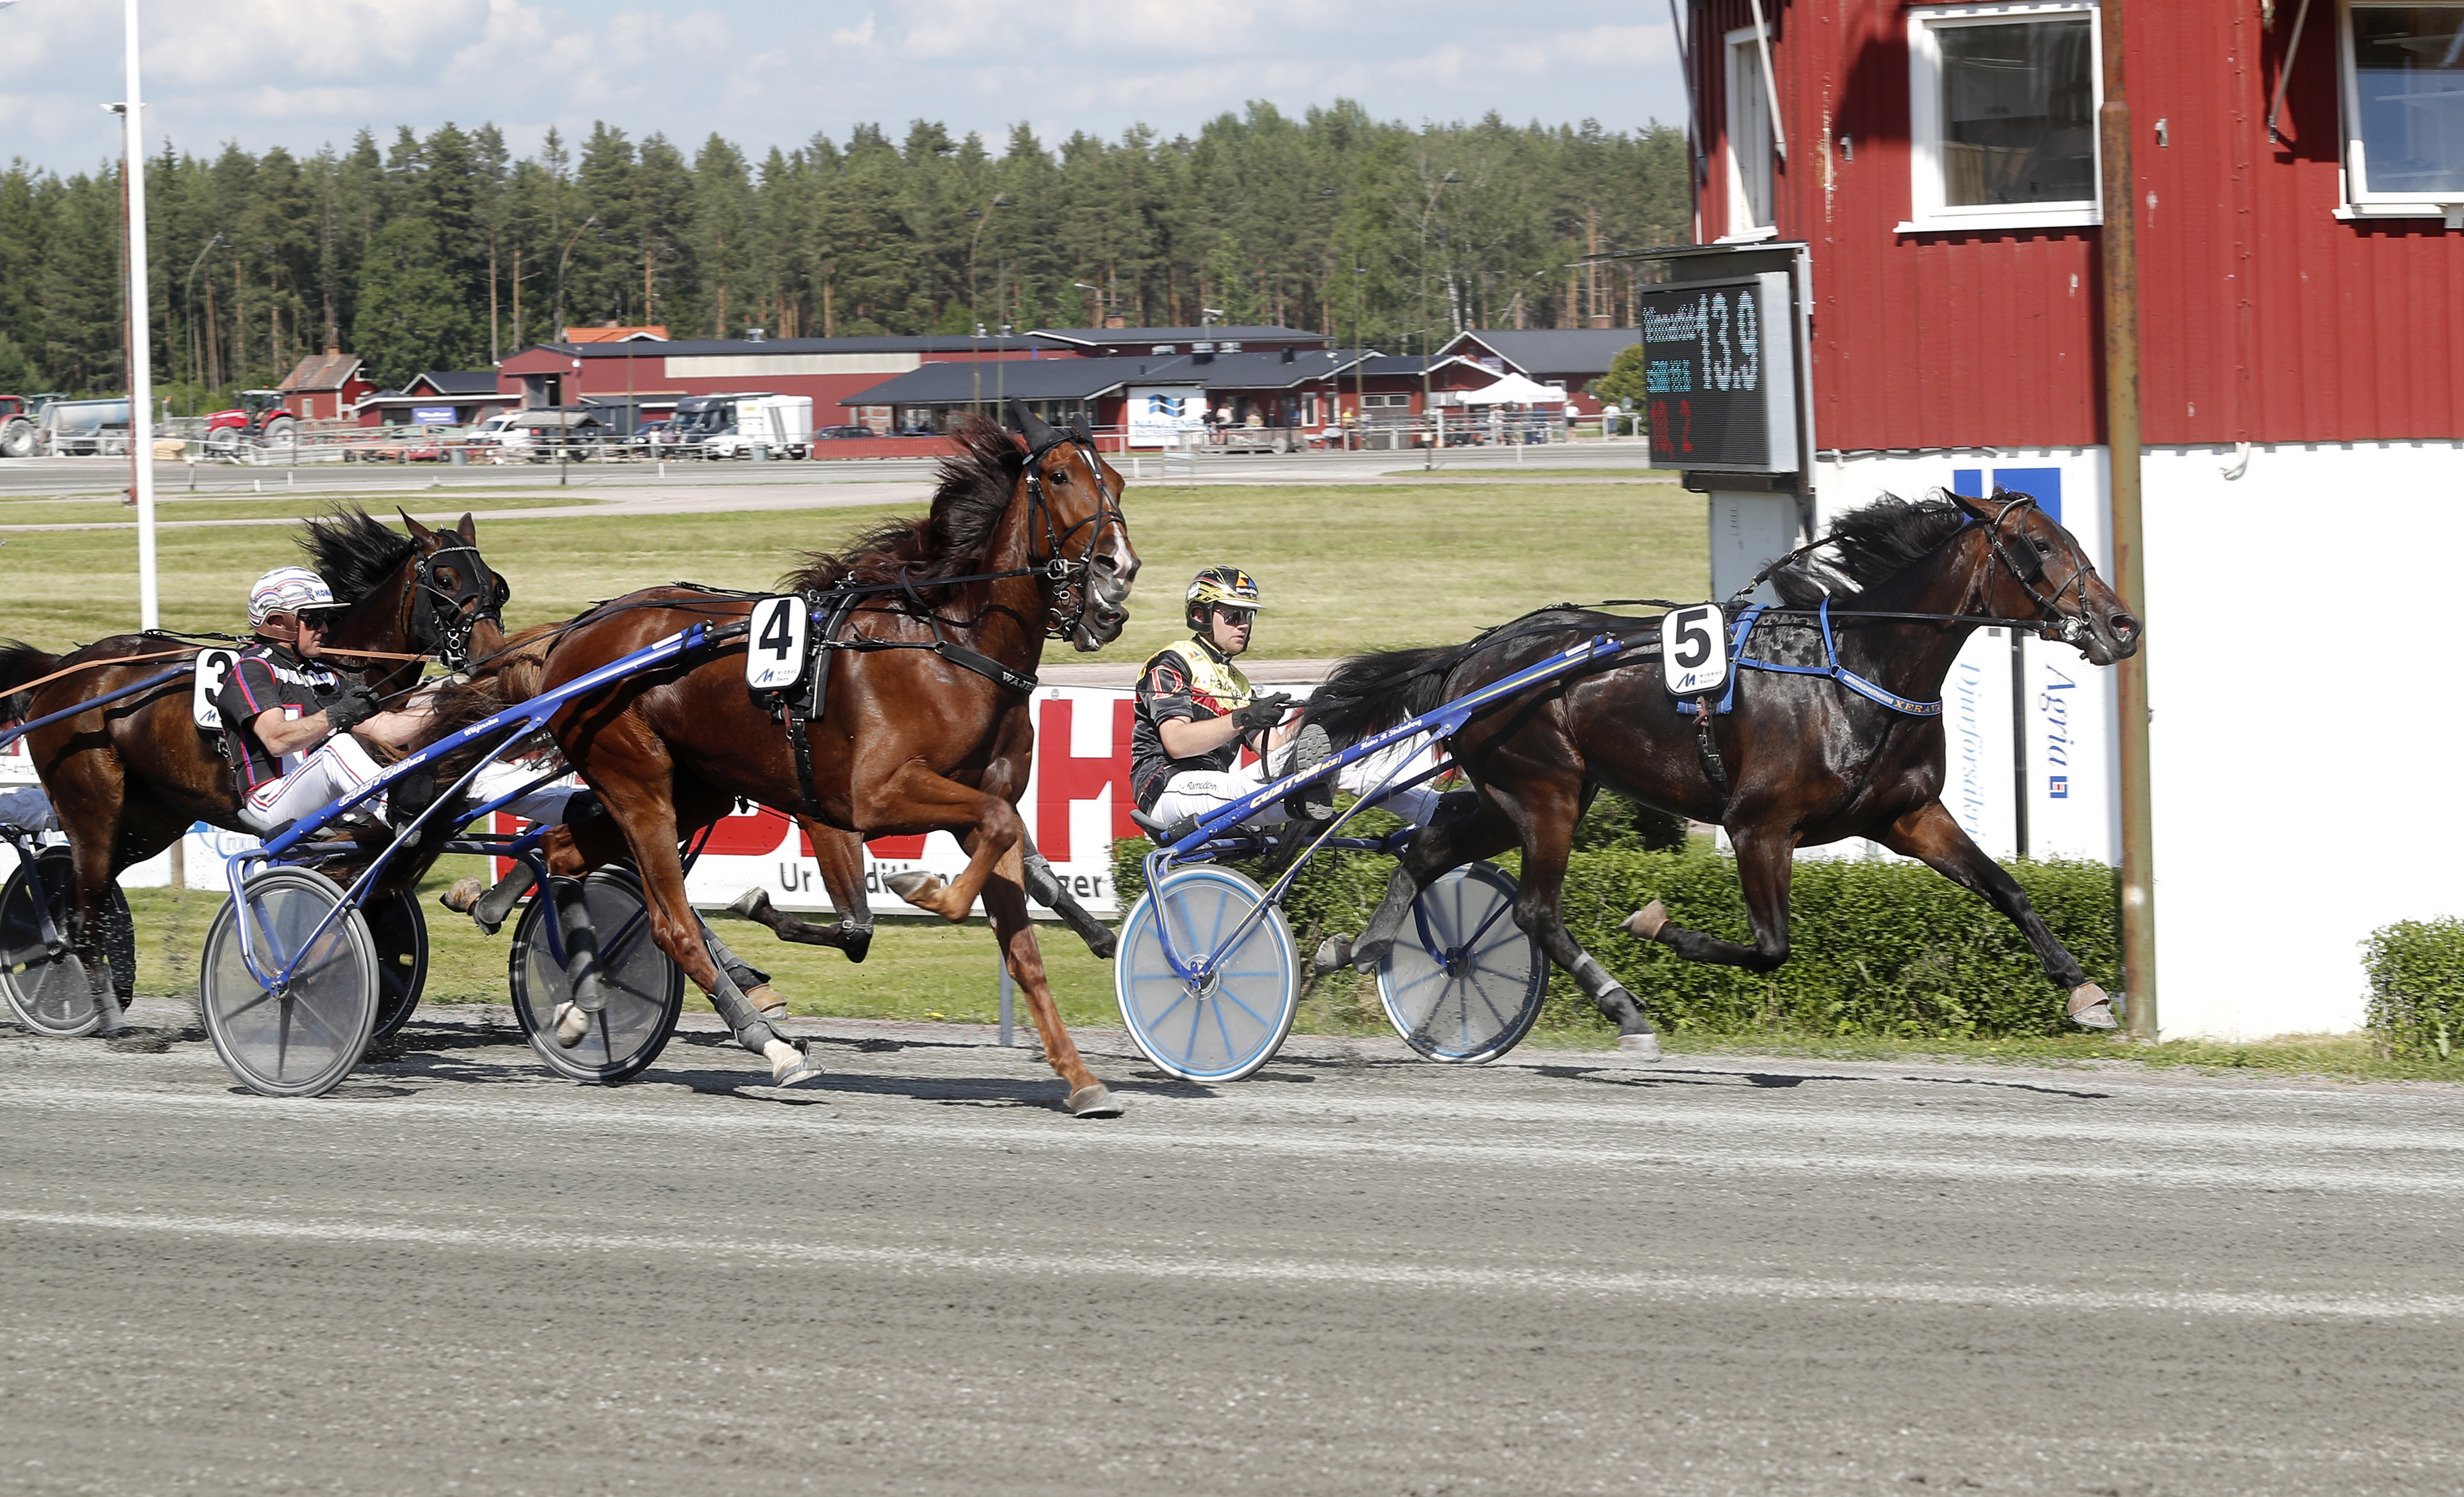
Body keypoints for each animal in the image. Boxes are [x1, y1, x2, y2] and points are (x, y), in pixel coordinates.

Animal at [0, 509, 510, 1034]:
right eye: (445, 580)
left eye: (496, 583)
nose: (492, 654)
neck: (326, 665)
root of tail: (62, 668)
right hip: (94, 807)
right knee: (84, 912)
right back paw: (108, 1017)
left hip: (150, 821)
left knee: (83, 897)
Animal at [432, 409, 1138, 1111]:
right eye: (1058, 476)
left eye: (1118, 482)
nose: (1119, 571)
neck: (950, 649)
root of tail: (568, 637)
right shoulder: (873, 796)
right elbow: (980, 835)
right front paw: (922, 889)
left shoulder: (959, 806)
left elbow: (1020, 940)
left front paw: (1080, 1078)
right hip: (639, 785)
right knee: (671, 925)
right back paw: (769, 1046)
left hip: (695, 790)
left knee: (559, 849)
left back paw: (562, 981)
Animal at [1300, 489, 2142, 1052]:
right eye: (2039, 547)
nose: (2121, 624)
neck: (1855, 668)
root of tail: (1474, 654)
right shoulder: (1757, 827)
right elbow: (1771, 948)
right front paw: (1656, 924)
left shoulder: (1905, 816)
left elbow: (2006, 887)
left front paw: (2085, 992)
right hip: (1546, 794)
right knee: (1535, 911)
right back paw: (1623, 1008)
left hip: (1517, 795)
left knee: (1429, 850)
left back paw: (1359, 947)